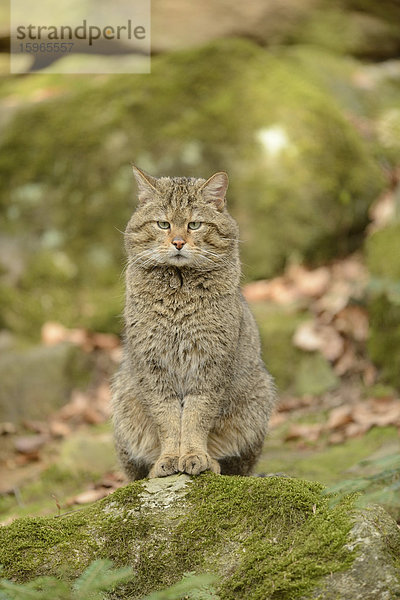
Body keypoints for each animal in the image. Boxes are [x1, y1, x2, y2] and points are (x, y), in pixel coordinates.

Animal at [111, 168, 276, 478]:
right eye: (163, 224)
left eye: (194, 224)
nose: (178, 242)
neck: (179, 293)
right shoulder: (154, 367)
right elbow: (167, 419)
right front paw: (168, 458)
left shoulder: (210, 365)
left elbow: (196, 417)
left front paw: (194, 455)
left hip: (257, 401)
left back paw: (214, 462)